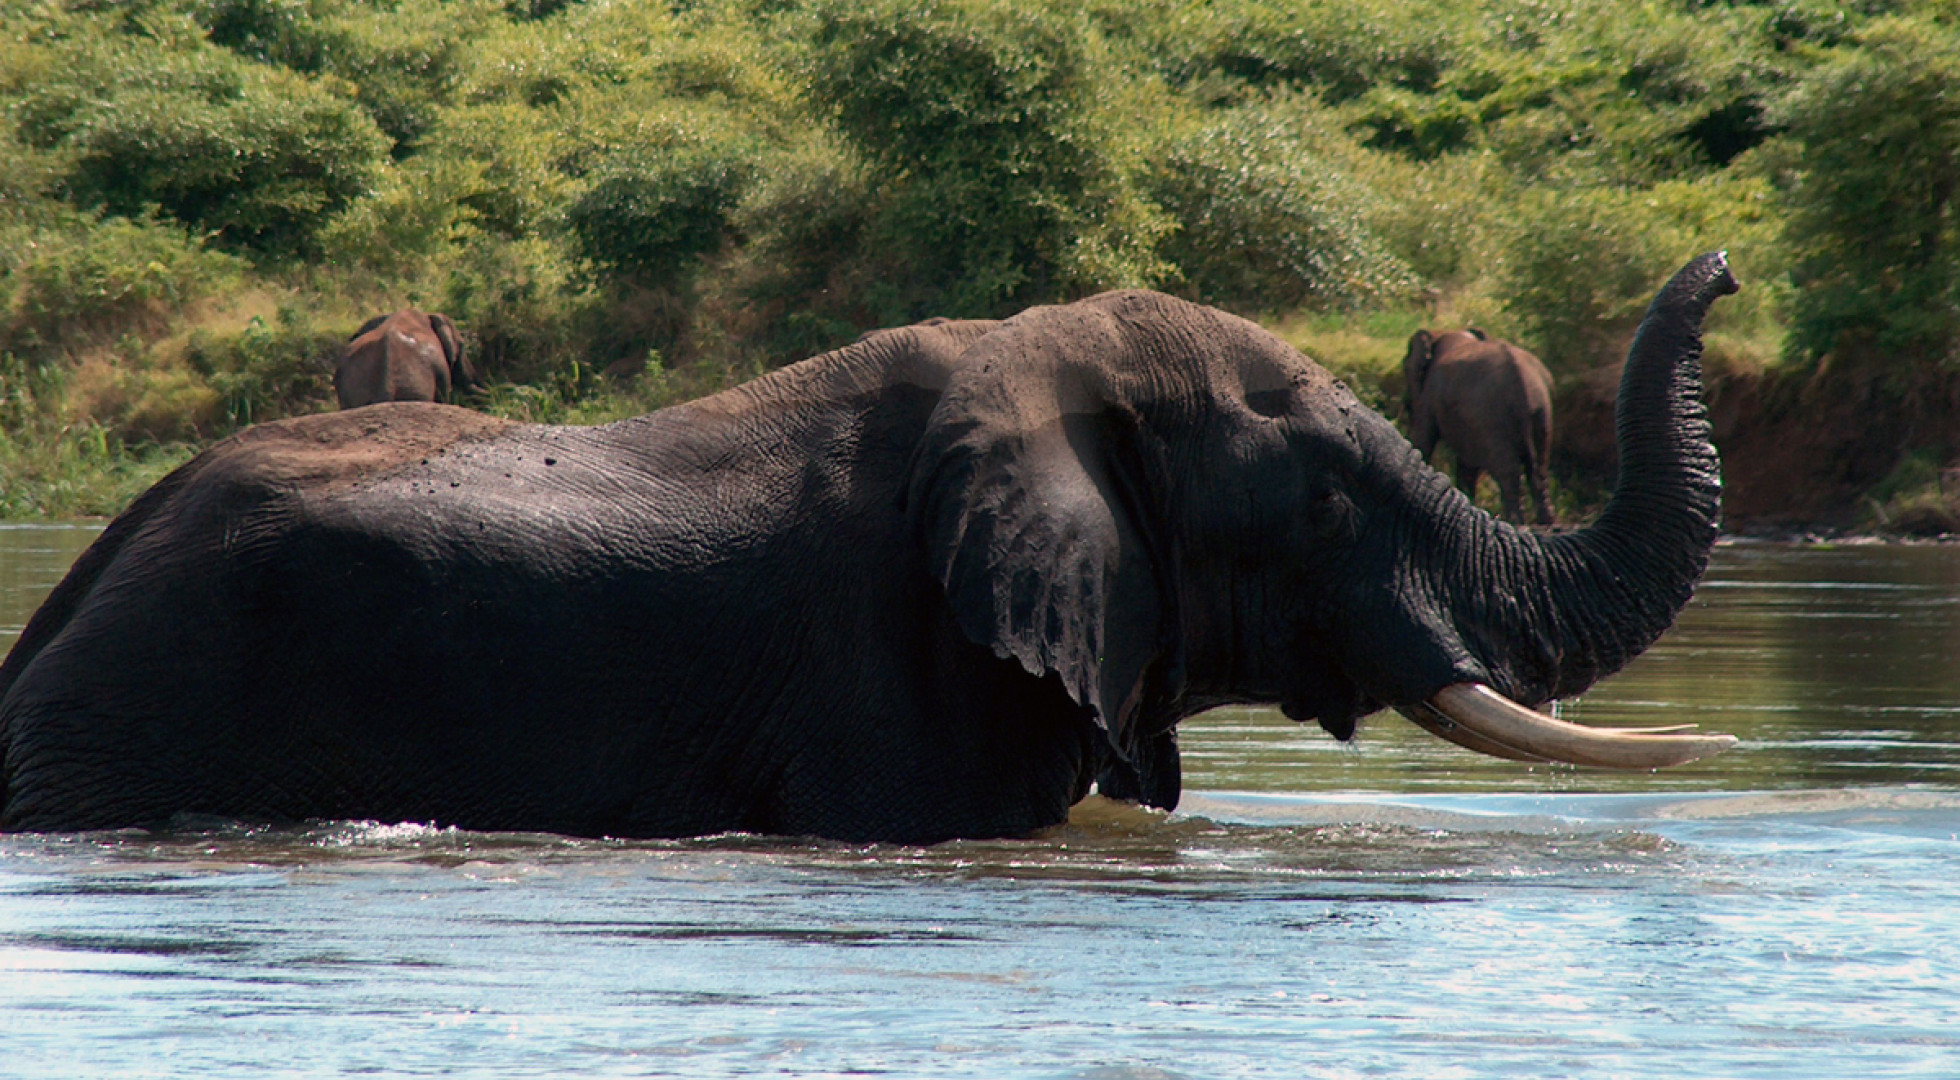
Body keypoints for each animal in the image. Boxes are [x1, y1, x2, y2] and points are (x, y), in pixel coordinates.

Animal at [1403, 327, 1556, 525]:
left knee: (1508, 470)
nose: (1406, 404)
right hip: (1541, 409)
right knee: (1539, 465)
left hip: (1492, 416)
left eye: (1405, 368)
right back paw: (1547, 521)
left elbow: (1422, 441)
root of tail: (1521, 381)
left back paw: (1516, 521)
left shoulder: (1430, 393)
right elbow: (1467, 463)